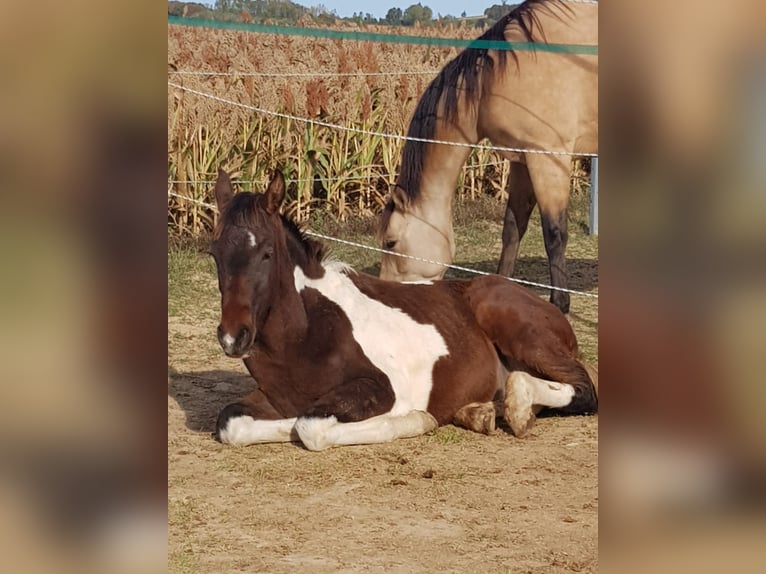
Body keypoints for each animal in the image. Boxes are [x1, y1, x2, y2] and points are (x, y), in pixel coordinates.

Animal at [209, 168, 597, 450]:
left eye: (266, 253)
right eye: (214, 253)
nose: (233, 337)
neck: (304, 335)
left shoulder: (381, 386)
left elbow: (311, 426)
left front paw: (415, 419)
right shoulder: (271, 398)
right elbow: (231, 423)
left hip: (518, 330)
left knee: (583, 389)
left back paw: (516, 408)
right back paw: (481, 413)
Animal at [379, 0, 598, 314]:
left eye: (390, 242)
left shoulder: (548, 159)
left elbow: (554, 234)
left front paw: (559, 305)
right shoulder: (522, 160)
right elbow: (512, 229)